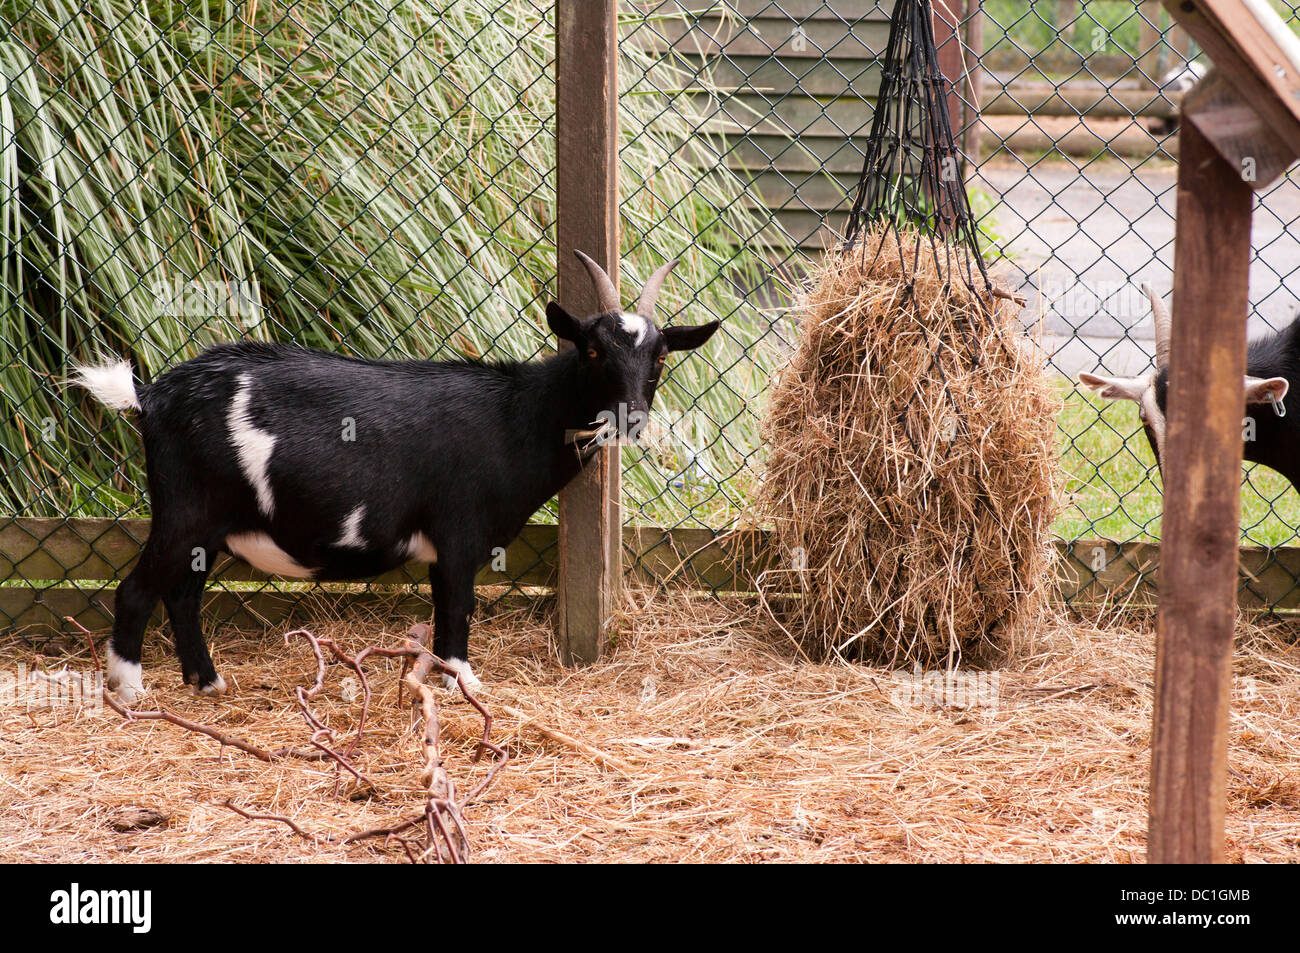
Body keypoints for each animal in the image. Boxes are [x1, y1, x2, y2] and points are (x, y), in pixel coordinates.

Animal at [73, 251, 719, 703]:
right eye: (591, 351)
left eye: (660, 357)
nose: (630, 418)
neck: (518, 412)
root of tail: (151, 396)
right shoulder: (459, 531)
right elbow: (457, 608)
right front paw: (465, 685)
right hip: (186, 510)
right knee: (138, 589)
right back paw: (130, 691)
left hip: (208, 526)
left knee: (183, 592)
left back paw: (207, 683)